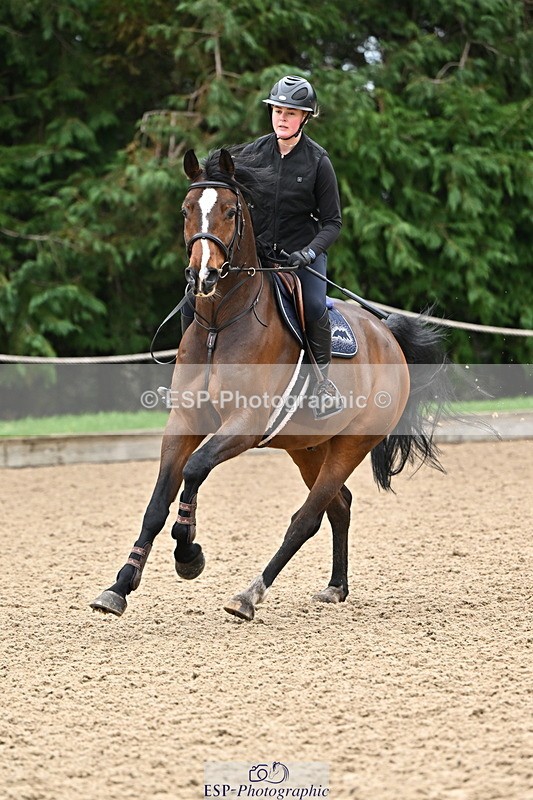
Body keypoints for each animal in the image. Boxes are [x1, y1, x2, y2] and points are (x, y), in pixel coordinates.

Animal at [90, 145, 448, 622]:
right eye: (186, 210)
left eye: (230, 210)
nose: (202, 276)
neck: (219, 325)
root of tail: (387, 332)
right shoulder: (184, 421)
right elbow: (155, 504)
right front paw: (119, 587)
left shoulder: (245, 424)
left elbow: (195, 469)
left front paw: (188, 554)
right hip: (308, 448)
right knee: (339, 506)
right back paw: (336, 586)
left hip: (351, 445)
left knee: (308, 518)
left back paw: (249, 594)